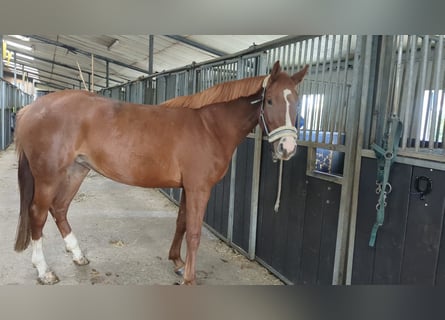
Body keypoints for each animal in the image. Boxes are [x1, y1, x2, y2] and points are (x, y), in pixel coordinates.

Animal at [13, 60, 306, 284]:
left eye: (297, 101)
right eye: (269, 101)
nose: (288, 148)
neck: (210, 127)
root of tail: (30, 109)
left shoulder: (188, 187)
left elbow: (182, 223)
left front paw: (178, 262)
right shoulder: (199, 188)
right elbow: (195, 233)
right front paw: (189, 278)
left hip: (77, 170)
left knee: (60, 208)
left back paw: (78, 255)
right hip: (48, 176)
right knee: (38, 214)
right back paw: (44, 271)